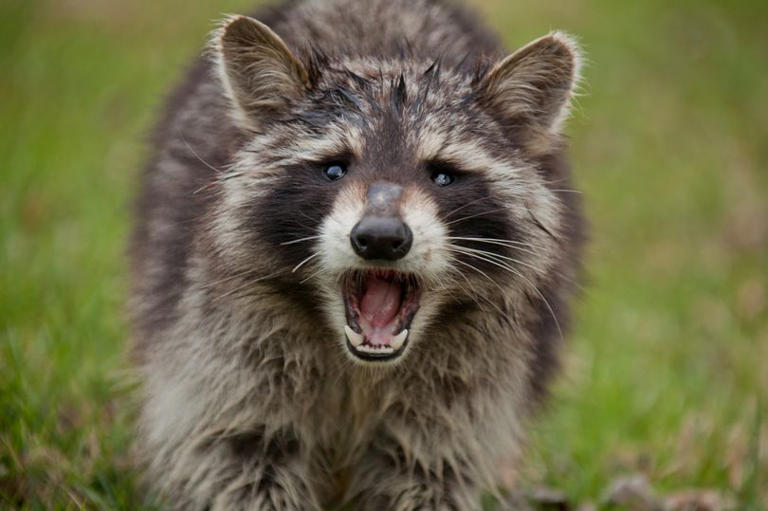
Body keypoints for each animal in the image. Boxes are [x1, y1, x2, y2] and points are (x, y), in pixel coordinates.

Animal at [130, 0, 584, 509]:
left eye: (442, 175)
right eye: (334, 169)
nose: (381, 237)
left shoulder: (471, 386)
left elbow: (430, 469)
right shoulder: (227, 351)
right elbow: (237, 454)